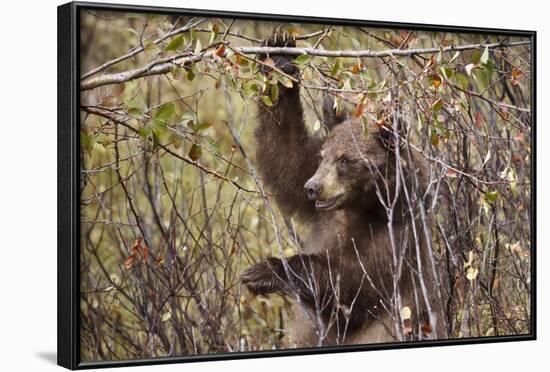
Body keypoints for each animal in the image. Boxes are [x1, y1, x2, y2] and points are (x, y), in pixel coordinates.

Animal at [243, 28, 448, 346]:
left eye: (346, 159)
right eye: (324, 156)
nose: (313, 187)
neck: (362, 208)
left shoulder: (394, 244)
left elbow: (353, 288)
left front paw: (268, 270)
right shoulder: (325, 211)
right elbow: (287, 160)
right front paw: (280, 59)